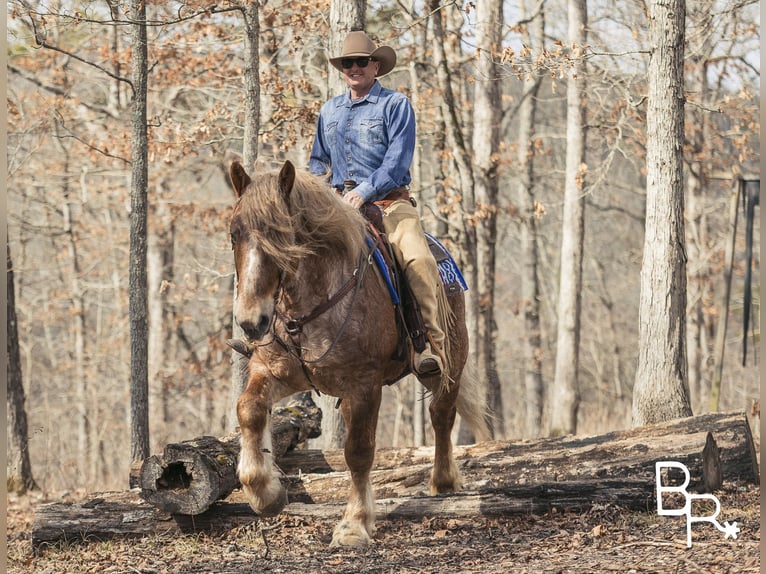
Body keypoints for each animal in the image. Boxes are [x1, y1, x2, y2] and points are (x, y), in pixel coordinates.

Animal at [230, 160, 492, 548]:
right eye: (235, 234)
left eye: (282, 236)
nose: (251, 321)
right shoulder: (275, 371)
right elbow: (249, 410)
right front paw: (265, 492)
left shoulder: (365, 385)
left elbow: (358, 452)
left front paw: (354, 524)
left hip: (450, 362)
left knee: (442, 414)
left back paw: (444, 481)